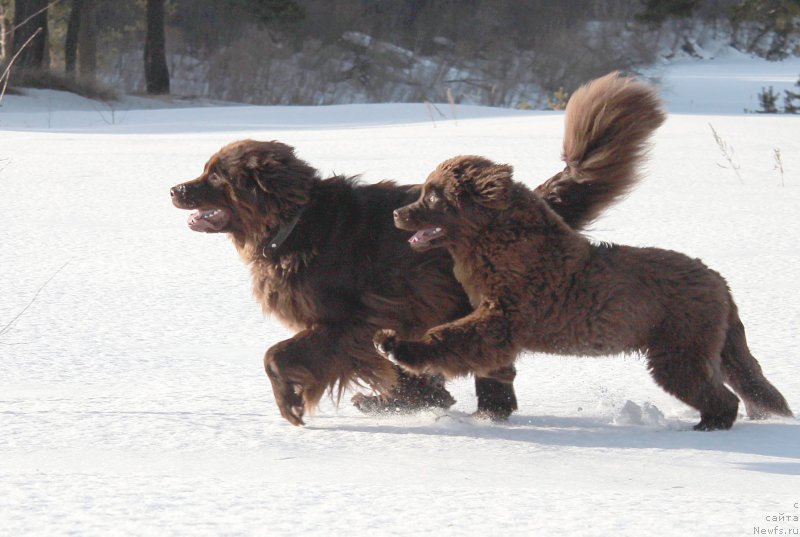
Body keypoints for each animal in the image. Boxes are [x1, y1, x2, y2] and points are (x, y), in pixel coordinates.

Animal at [173, 70, 664, 422]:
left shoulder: (352, 320)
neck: (294, 225)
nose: (175, 189)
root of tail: (532, 204)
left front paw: (291, 404)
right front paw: (419, 395)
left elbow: (277, 355)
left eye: (215, 176)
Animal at [376, 74, 792, 432]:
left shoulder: (506, 316)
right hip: (711, 343)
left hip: (680, 347)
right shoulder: (494, 319)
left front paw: (396, 346)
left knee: (718, 394)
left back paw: (706, 428)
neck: (498, 244)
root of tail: (720, 283)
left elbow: (453, 337)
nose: (396, 214)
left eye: (434, 195)